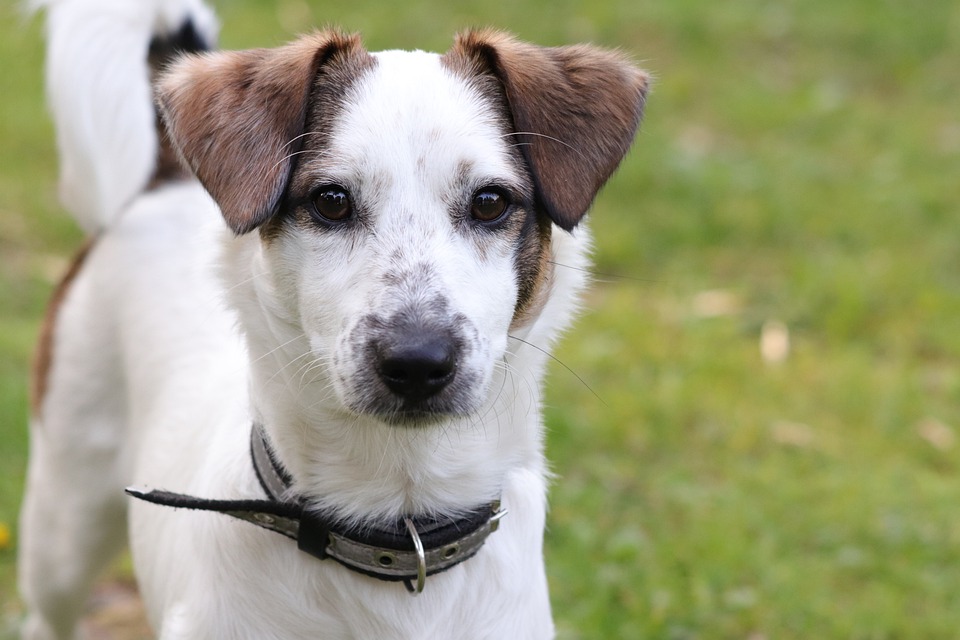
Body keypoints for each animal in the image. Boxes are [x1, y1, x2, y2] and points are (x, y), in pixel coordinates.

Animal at [18, 1, 648, 636]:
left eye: (490, 202)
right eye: (331, 201)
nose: (416, 362)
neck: (400, 525)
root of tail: (165, 178)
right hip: (63, 523)